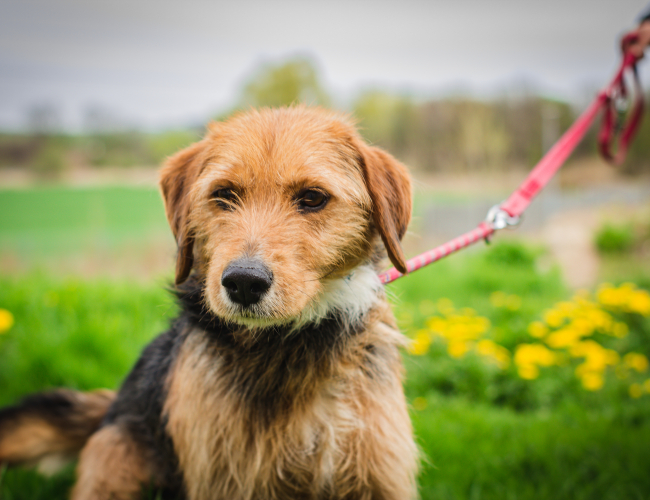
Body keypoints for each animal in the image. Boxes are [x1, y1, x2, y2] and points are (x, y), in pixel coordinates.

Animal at [0, 106, 416, 500]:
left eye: (313, 197)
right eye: (224, 194)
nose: (244, 282)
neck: (287, 346)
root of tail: (113, 407)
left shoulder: (377, 475)